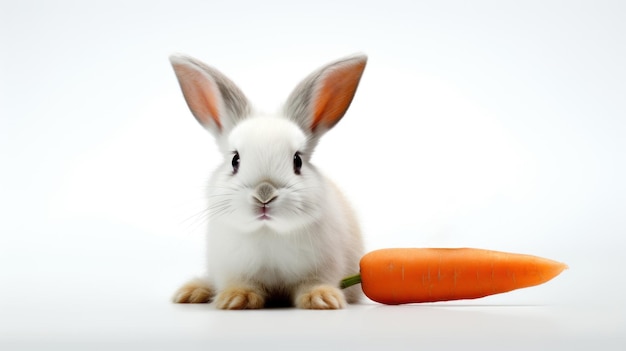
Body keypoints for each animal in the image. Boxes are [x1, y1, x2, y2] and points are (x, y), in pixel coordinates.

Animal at [168, 53, 368, 310]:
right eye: (235, 160)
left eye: (297, 161)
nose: (264, 194)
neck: (268, 232)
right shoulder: (232, 269)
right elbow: (241, 283)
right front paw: (236, 298)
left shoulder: (323, 268)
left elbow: (314, 283)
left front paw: (322, 298)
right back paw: (192, 292)